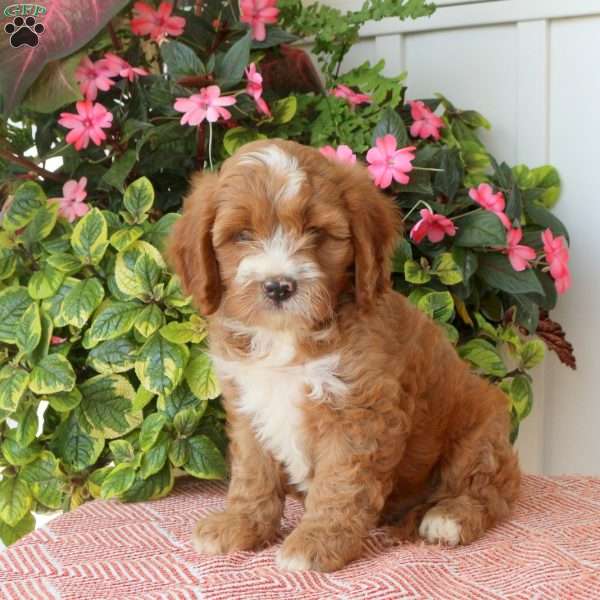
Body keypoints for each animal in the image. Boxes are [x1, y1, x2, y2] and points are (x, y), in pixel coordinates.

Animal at [169, 137, 520, 572]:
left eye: (317, 232)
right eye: (243, 234)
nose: (278, 286)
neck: (287, 338)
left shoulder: (357, 412)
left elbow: (340, 484)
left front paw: (318, 541)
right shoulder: (249, 403)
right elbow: (253, 473)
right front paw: (241, 523)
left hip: (480, 437)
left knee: (489, 490)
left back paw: (449, 517)